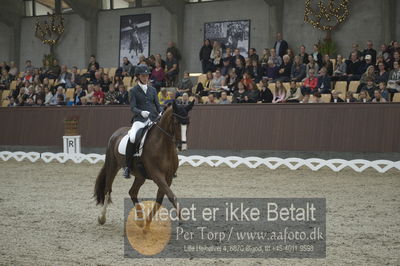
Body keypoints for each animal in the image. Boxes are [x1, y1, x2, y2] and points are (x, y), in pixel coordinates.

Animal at [94, 101, 194, 230]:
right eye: (176, 123)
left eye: (188, 123)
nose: (183, 147)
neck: (163, 145)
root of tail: (116, 133)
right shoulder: (157, 176)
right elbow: (171, 195)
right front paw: (182, 218)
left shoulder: (168, 178)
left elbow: (159, 200)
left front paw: (147, 224)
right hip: (112, 166)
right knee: (107, 190)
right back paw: (102, 218)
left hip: (140, 176)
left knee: (132, 192)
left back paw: (140, 220)